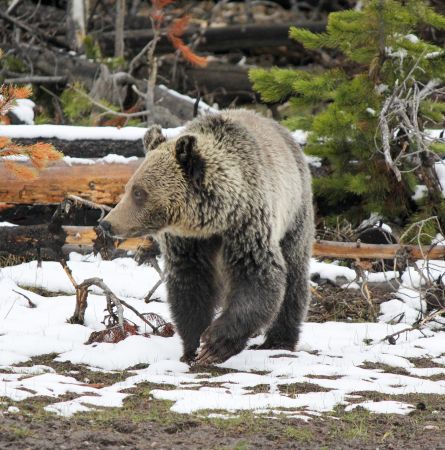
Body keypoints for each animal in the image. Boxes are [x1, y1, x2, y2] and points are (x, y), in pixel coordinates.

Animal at [102, 110, 314, 366]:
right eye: (129, 188)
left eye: (139, 192)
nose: (107, 223)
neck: (212, 221)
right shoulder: (188, 243)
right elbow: (191, 287)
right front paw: (193, 347)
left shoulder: (247, 227)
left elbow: (258, 279)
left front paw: (215, 344)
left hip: (295, 212)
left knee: (294, 274)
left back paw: (280, 339)